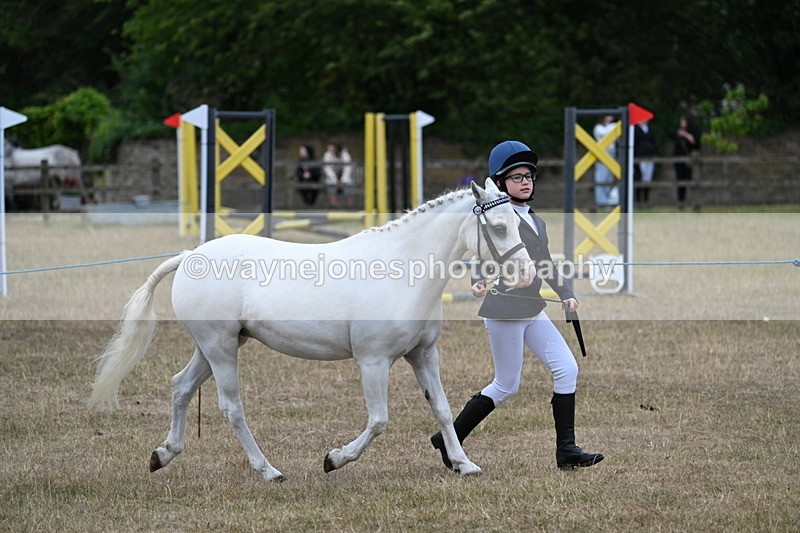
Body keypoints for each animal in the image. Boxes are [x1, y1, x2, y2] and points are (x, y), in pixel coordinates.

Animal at [89, 178, 535, 481]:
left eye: (517, 222)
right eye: (498, 227)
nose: (528, 274)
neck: (402, 270)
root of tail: (189, 256)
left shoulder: (423, 354)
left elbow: (441, 408)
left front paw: (463, 464)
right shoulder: (373, 361)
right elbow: (379, 420)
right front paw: (334, 459)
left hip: (214, 346)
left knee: (181, 387)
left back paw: (163, 454)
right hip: (219, 348)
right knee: (231, 407)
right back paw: (268, 471)